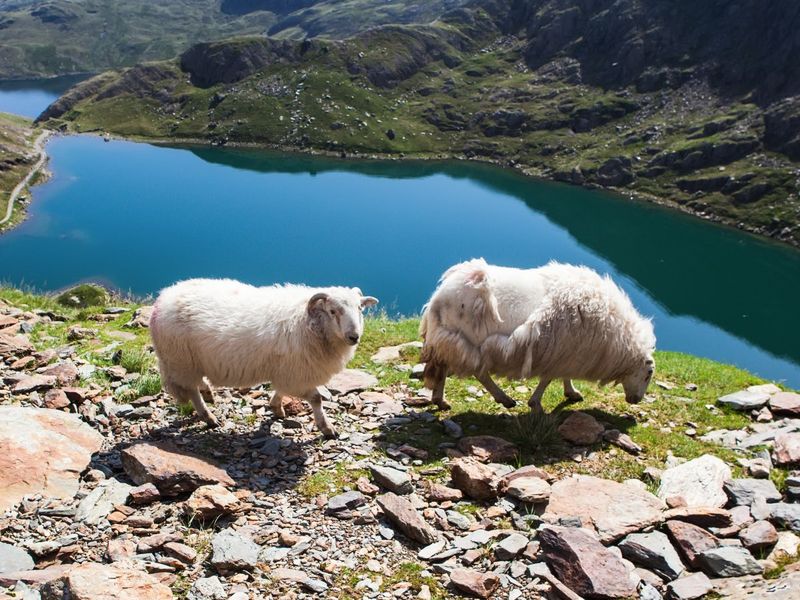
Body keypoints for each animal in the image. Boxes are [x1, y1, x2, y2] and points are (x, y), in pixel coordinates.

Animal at [150, 278, 378, 438]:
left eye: (360, 308)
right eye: (332, 311)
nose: (354, 337)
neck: (308, 322)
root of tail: (163, 298)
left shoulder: (289, 371)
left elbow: (282, 390)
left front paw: (276, 408)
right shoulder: (297, 372)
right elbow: (316, 398)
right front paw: (327, 428)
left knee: (196, 385)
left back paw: (208, 393)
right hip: (182, 360)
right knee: (191, 390)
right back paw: (208, 416)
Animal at [419, 259, 655, 412]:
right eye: (649, 373)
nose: (636, 400)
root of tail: (439, 296)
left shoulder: (567, 352)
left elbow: (562, 376)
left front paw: (571, 392)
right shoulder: (560, 351)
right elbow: (548, 378)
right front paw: (536, 403)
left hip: (451, 339)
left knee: (446, 367)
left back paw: (440, 400)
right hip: (466, 341)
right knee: (478, 372)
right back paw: (504, 399)